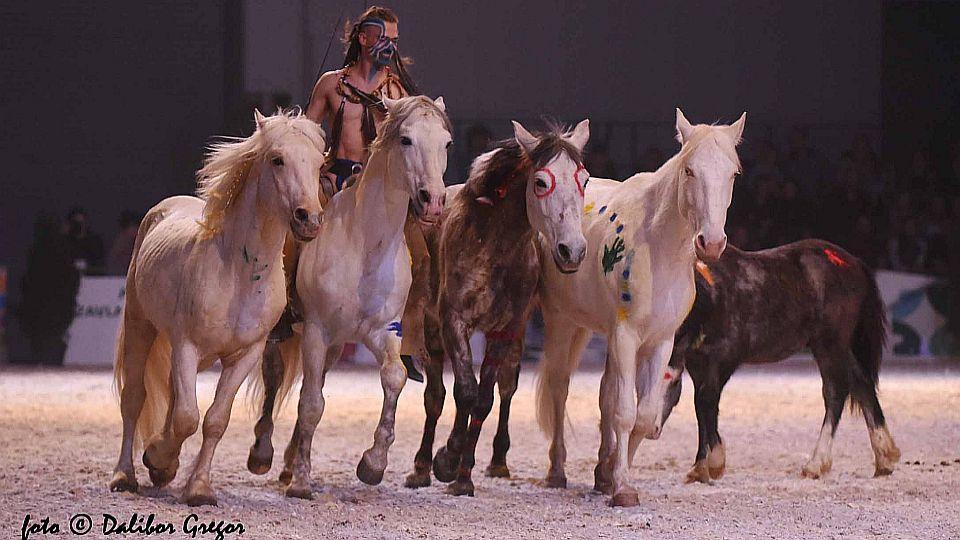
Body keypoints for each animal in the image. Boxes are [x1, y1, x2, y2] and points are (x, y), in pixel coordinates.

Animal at [109, 109, 325, 506]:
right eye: (277, 159)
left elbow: (214, 420)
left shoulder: (246, 354)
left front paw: (196, 486)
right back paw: (125, 475)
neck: (239, 270)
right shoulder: (186, 346)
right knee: (134, 399)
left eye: (319, 164)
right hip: (140, 326)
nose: (309, 219)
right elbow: (186, 418)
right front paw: (158, 458)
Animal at [245, 95, 452, 500]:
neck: (365, 244)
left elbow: (393, 378)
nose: (433, 201)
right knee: (276, 376)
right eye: (406, 139)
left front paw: (372, 464)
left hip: (338, 344)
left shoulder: (383, 332)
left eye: (446, 142)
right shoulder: (315, 330)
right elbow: (311, 403)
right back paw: (264, 453)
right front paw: (302, 481)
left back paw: (289, 462)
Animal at [399, 120, 591, 496]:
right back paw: (421, 466)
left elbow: (484, 398)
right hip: (431, 329)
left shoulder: (505, 329)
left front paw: (463, 476)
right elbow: (464, 390)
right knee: (435, 395)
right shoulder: (453, 322)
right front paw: (447, 459)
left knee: (505, 386)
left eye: (585, 180)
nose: (572, 250)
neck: (493, 244)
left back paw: (497, 460)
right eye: (541, 182)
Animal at [536, 109, 746, 506]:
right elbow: (623, 411)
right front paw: (621, 487)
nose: (711, 242)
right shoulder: (625, 335)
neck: (657, 246)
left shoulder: (660, 341)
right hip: (560, 320)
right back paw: (556, 470)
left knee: (603, 393)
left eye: (733, 174)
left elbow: (643, 415)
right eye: (689, 170)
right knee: (559, 386)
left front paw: (612, 475)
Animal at [659, 240, 901, 484]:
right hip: (837, 347)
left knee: (836, 392)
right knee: (862, 385)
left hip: (829, 345)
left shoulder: (725, 358)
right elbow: (700, 408)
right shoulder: (696, 364)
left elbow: (706, 401)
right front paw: (700, 465)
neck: (711, 296)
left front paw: (715, 461)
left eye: (669, 382)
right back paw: (884, 457)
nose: (653, 428)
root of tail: (853, 263)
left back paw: (816, 463)